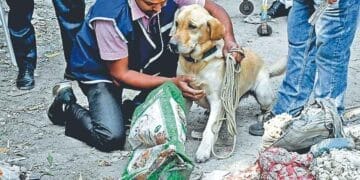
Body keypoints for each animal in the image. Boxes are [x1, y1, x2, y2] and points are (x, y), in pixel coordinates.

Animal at [169, 4, 286, 162]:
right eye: (176, 23)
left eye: (192, 26)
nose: (171, 44)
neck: (196, 64)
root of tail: (267, 68)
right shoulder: (186, 94)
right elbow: (181, 118)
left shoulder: (217, 100)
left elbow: (209, 130)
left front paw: (203, 151)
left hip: (263, 94)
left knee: (266, 107)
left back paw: (264, 115)